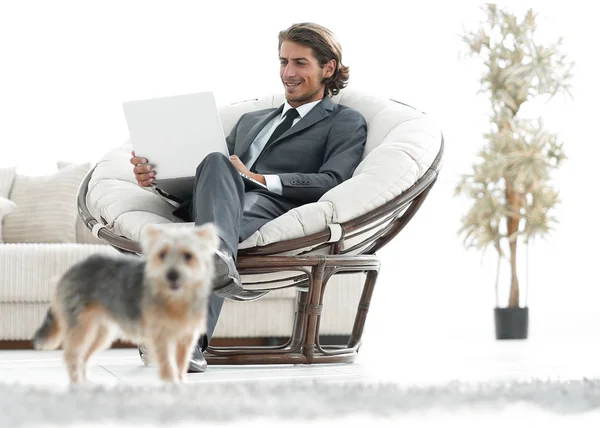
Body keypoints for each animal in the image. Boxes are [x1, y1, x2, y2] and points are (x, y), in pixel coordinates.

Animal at [32, 224, 220, 384]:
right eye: (162, 255)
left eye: (188, 256)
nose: (172, 275)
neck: (175, 299)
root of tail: (69, 271)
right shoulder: (160, 337)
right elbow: (167, 364)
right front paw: (170, 383)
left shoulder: (185, 338)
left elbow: (180, 365)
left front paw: (180, 383)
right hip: (81, 327)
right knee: (71, 355)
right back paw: (77, 384)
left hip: (101, 333)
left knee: (83, 356)